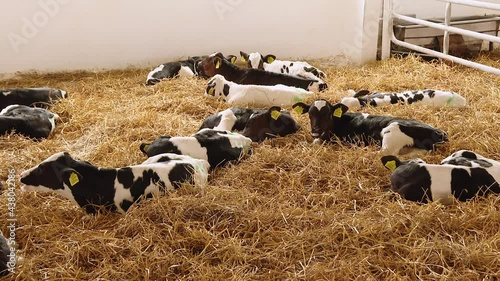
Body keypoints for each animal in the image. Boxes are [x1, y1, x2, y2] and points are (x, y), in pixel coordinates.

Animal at [292, 99, 448, 154]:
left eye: (328, 114)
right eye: (310, 113)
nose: (315, 129)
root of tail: (438, 132)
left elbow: (316, 142)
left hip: (390, 134)